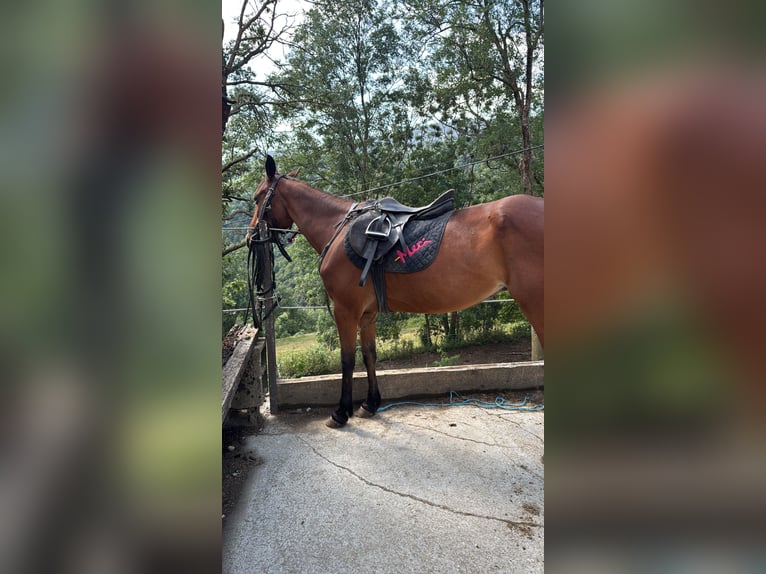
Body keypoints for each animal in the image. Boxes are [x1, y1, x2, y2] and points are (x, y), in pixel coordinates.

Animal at [248, 156, 544, 428]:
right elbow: (369, 354)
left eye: (257, 198)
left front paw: (341, 412)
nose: (251, 236)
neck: (339, 229)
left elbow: (347, 359)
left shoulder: (346, 310)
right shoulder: (367, 313)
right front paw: (370, 403)